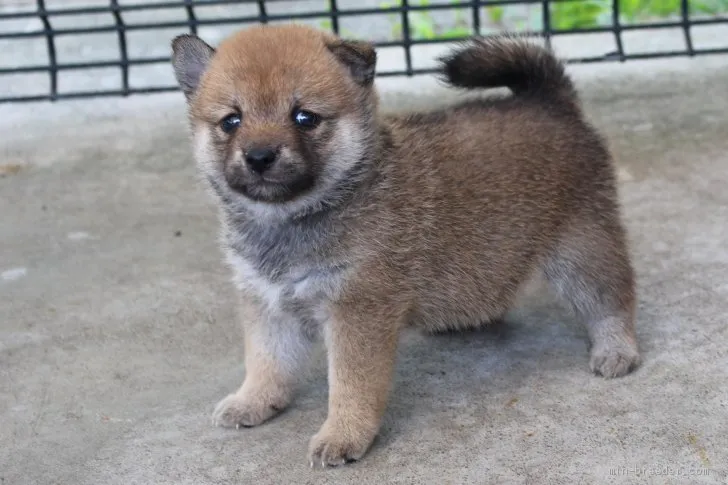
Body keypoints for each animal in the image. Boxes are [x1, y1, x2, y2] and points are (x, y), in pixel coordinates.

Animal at [169, 24, 636, 466]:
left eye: (304, 117)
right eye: (231, 121)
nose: (260, 156)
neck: (294, 218)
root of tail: (549, 102)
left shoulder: (357, 310)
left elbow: (350, 385)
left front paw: (343, 434)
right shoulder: (267, 303)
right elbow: (266, 362)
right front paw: (253, 400)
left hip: (582, 249)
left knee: (612, 300)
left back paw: (616, 348)